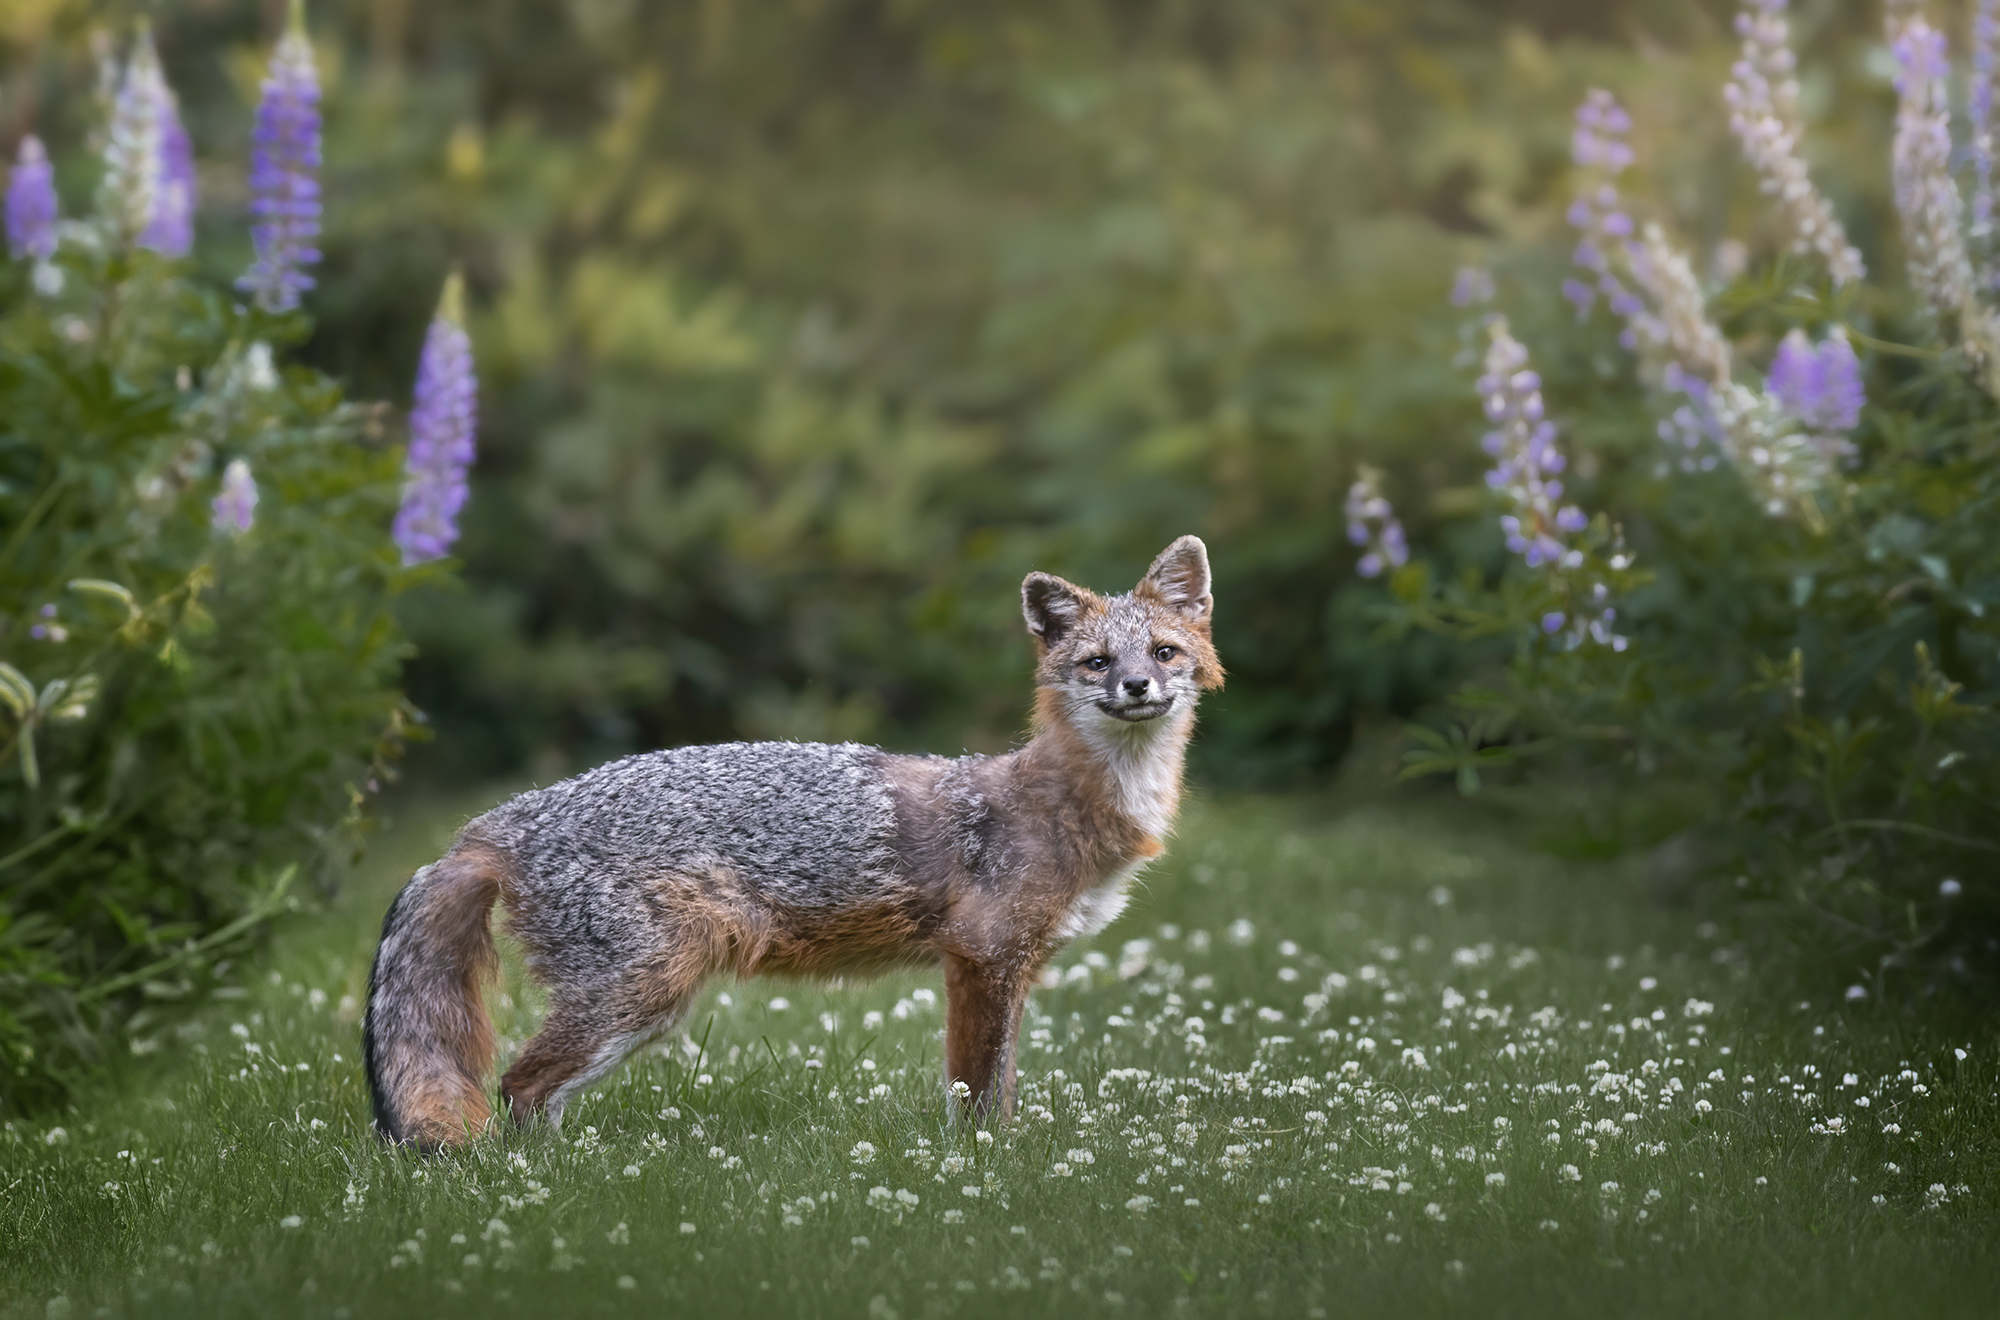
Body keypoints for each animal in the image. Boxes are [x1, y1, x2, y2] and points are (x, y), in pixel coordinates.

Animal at [363, 535, 1223, 1148]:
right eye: (1098, 662)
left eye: (1164, 653)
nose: (1137, 687)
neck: (1056, 800)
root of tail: (502, 818)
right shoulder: (983, 959)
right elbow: (978, 1096)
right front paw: (986, 1167)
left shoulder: (1013, 966)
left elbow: (999, 1086)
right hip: (639, 994)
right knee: (520, 1087)